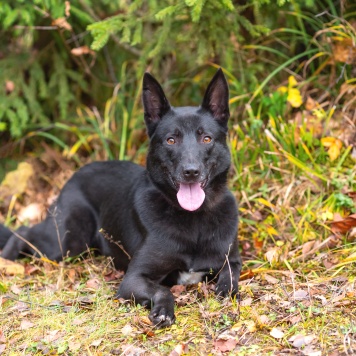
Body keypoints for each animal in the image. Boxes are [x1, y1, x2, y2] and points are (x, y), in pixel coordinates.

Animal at [0, 68, 242, 326]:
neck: (194, 219)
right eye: (171, 140)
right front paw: (163, 310)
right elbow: (162, 290)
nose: (191, 171)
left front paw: (225, 294)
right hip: (67, 244)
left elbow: (230, 279)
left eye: (206, 139)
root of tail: (77, 173)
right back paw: (7, 260)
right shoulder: (133, 278)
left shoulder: (232, 261)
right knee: (23, 232)